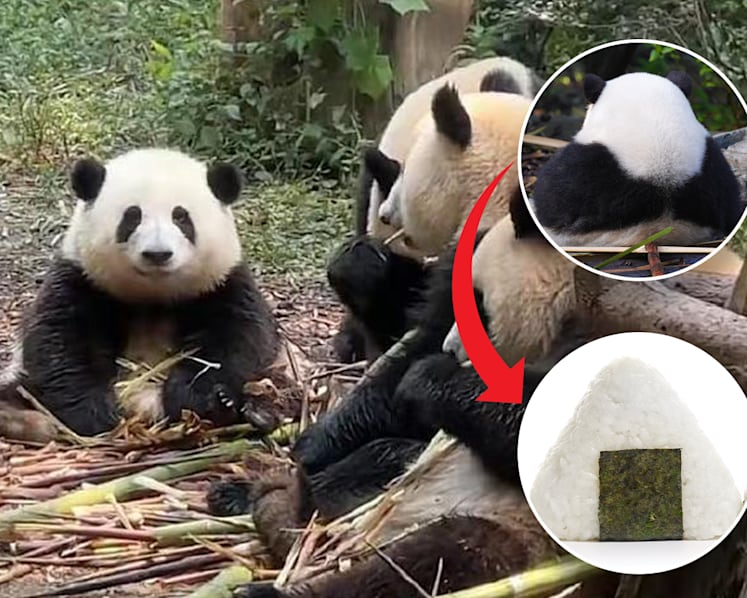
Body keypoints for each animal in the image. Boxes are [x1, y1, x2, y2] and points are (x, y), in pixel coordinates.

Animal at [0, 148, 281, 439]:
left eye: (181, 217)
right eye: (132, 216)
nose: (158, 254)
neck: (153, 296)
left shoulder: (221, 282)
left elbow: (237, 339)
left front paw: (198, 398)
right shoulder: (81, 278)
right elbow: (59, 340)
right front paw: (95, 414)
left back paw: (248, 412)